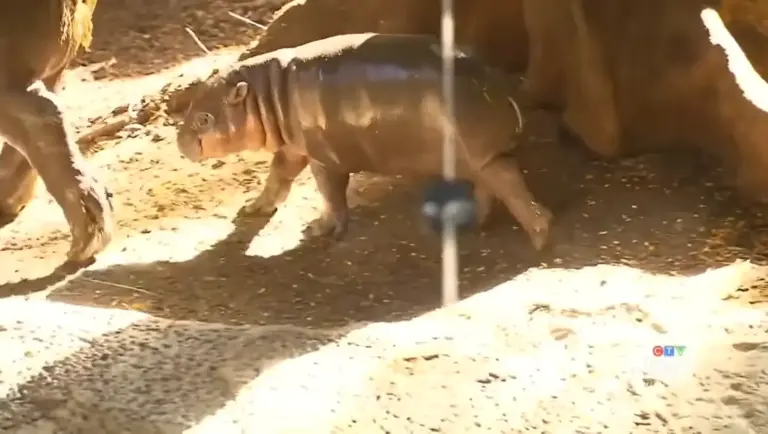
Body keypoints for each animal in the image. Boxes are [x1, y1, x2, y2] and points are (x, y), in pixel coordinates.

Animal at [176, 33, 552, 250]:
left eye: (204, 118)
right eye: (191, 104)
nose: (180, 141)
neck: (264, 93)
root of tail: (499, 86)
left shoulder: (323, 157)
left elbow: (330, 193)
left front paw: (318, 230)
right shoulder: (295, 147)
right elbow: (278, 176)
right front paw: (252, 209)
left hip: (480, 154)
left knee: (509, 182)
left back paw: (541, 237)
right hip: (475, 156)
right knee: (491, 184)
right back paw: (474, 225)